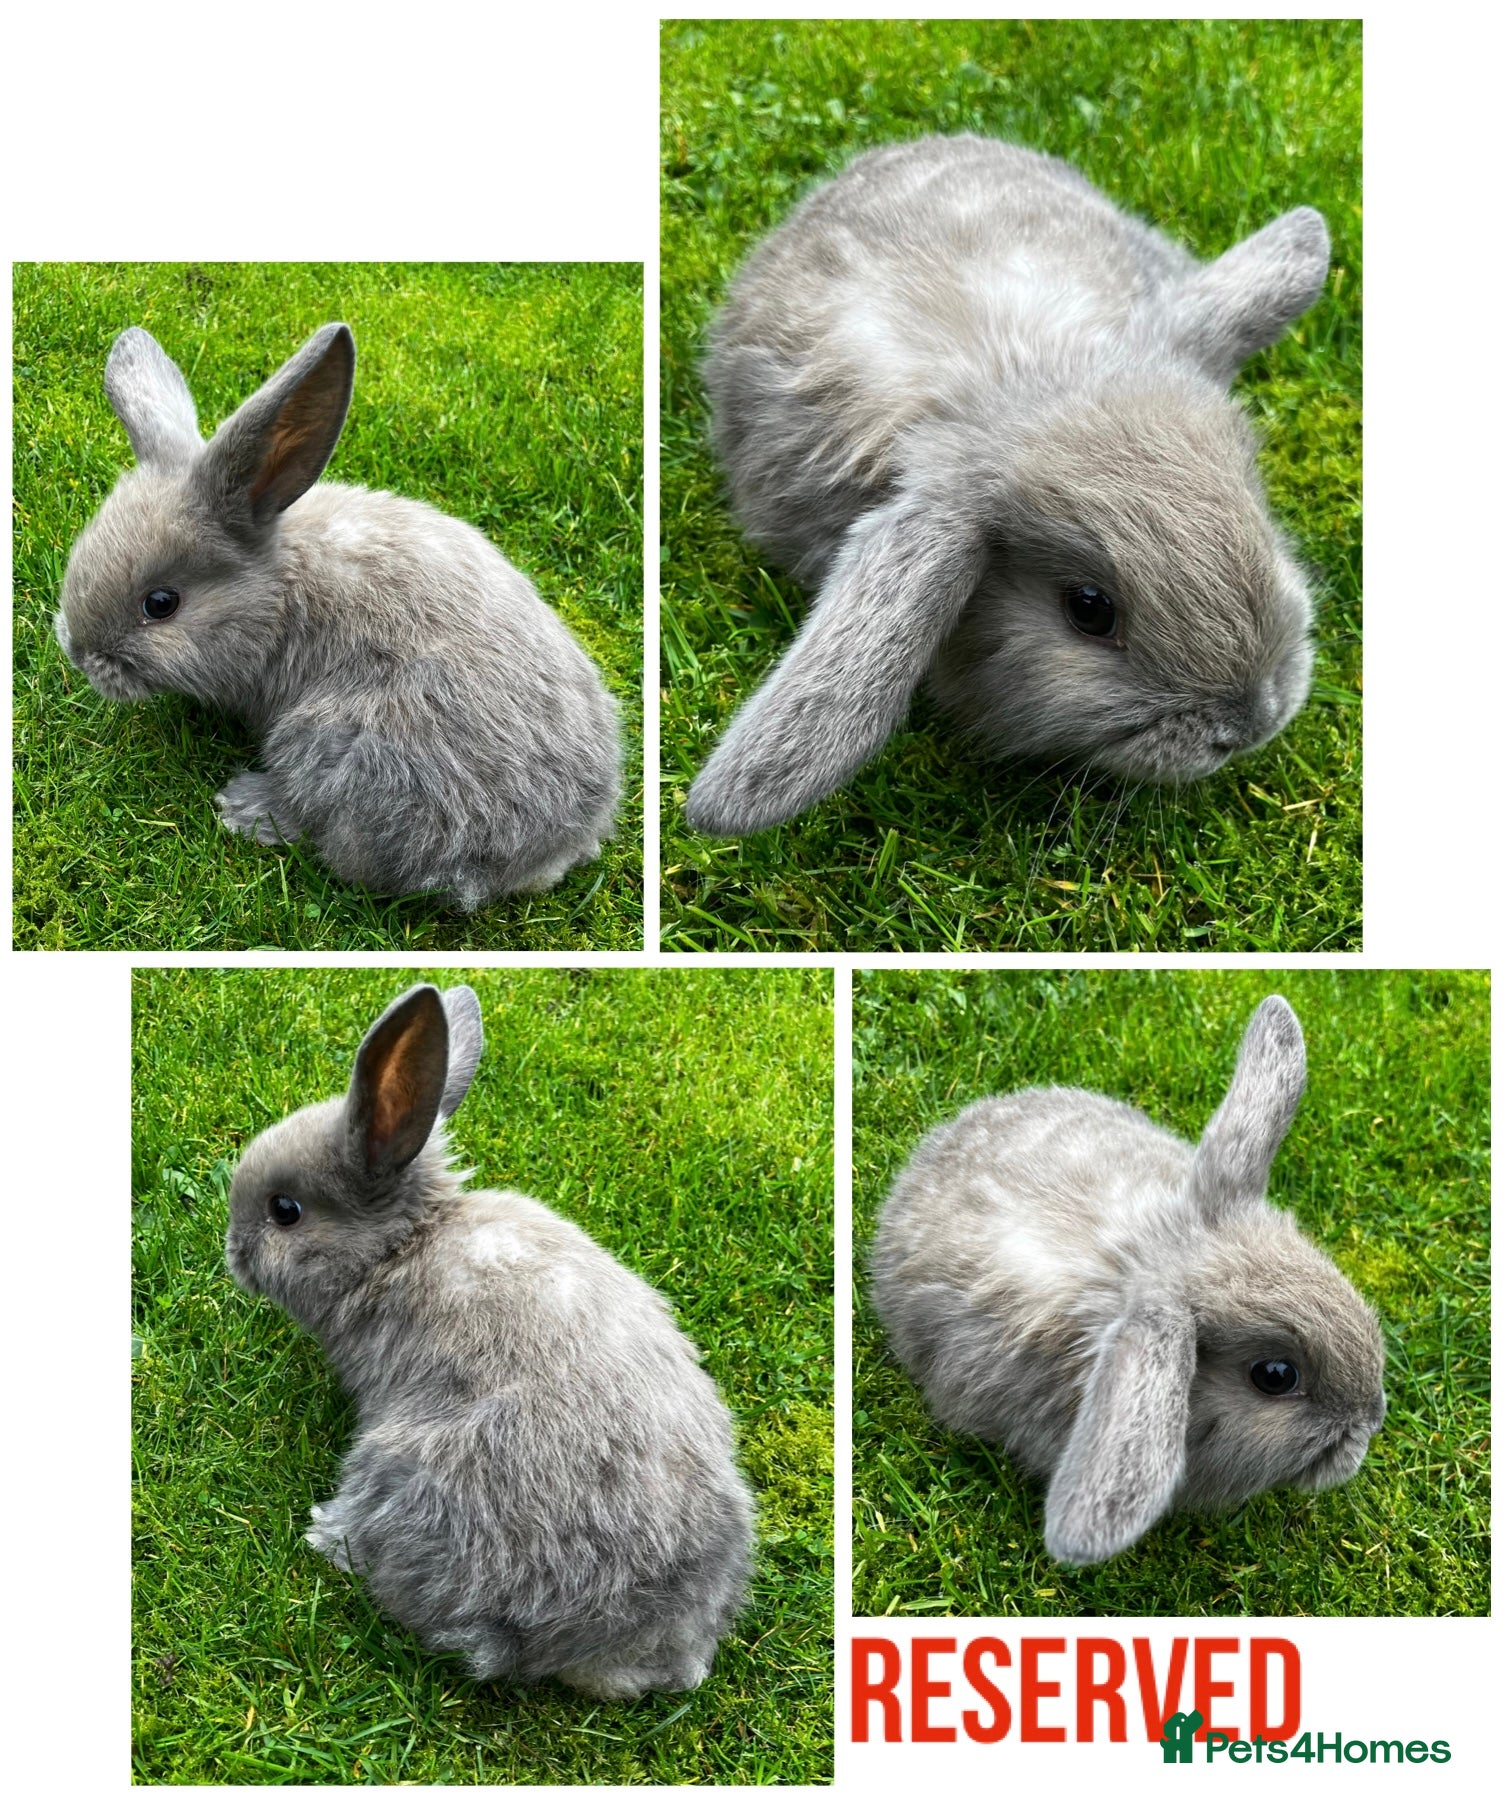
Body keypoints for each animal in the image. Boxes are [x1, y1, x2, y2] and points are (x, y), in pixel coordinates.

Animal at [55, 323, 621, 908]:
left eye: (161, 604)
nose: (80, 656)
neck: (280, 591)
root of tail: (556, 848)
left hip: (341, 743)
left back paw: (245, 806)